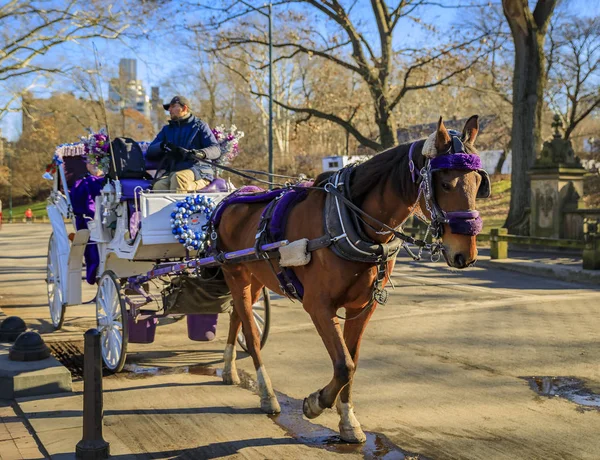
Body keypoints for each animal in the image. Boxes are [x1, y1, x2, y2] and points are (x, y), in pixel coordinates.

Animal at [214, 114, 488, 442]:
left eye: (478, 183)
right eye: (445, 183)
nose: (466, 254)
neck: (351, 222)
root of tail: (232, 198)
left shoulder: (362, 307)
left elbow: (351, 362)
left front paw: (347, 420)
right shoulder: (318, 306)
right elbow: (344, 365)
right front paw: (316, 402)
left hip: (255, 278)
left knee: (237, 317)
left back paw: (228, 369)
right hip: (235, 275)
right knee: (252, 335)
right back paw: (267, 394)